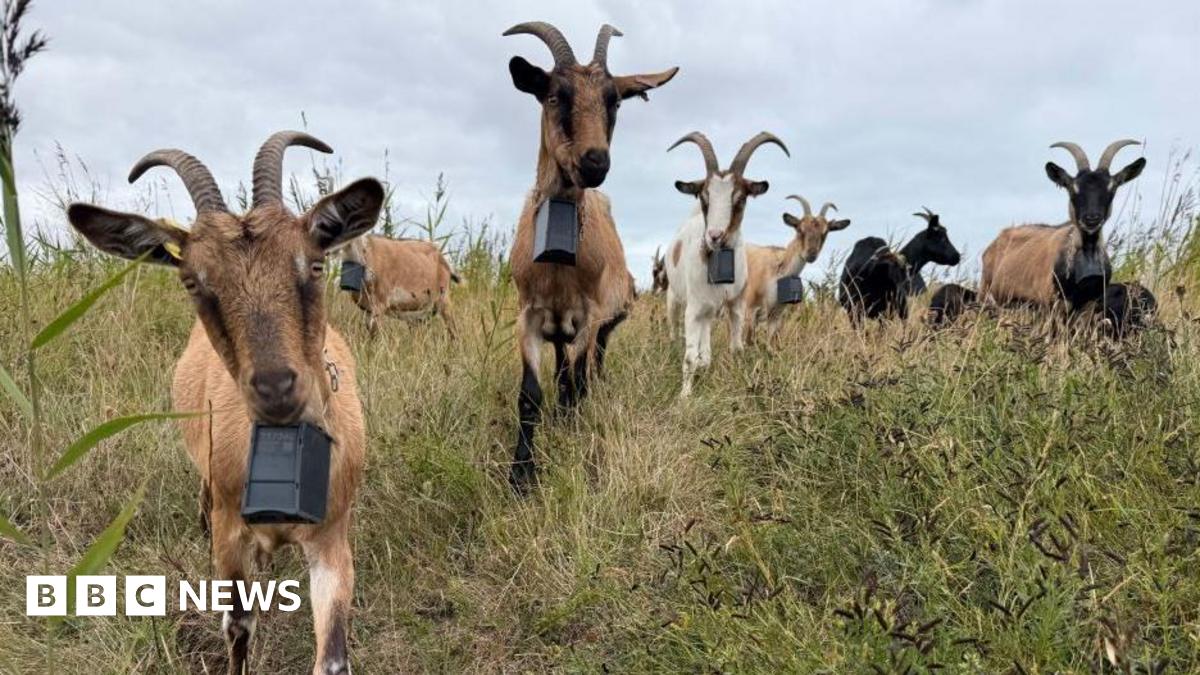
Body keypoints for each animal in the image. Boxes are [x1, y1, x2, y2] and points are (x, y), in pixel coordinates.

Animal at [66, 131, 384, 675]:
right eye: (193, 281)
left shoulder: (332, 537)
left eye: (314, 264)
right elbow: (237, 624)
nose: (277, 388)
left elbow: (332, 656)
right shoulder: (229, 533)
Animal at [504, 21, 677, 490]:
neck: (558, 266)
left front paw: (571, 433)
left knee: (585, 372)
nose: (595, 161)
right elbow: (531, 395)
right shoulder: (529, 315)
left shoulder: (589, 316)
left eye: (613, 100)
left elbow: (575, 383)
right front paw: (521, 473)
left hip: (599, 326)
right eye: (553, 95)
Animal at [663, 131, 789, 396]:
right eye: (705, 197)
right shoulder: (693, 309)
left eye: (740, 198)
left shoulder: (736, 305)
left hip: (710, 310)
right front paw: (685, 396)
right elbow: (689, 358)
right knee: (675, 330)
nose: (714, 236)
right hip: (675, 298)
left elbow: (736, 348)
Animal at [740, 194, 849, 345]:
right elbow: (748, 342)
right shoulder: (750, 310)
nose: (811, 254)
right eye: (799, 229)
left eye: (825, 233)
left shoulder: (775, 315)